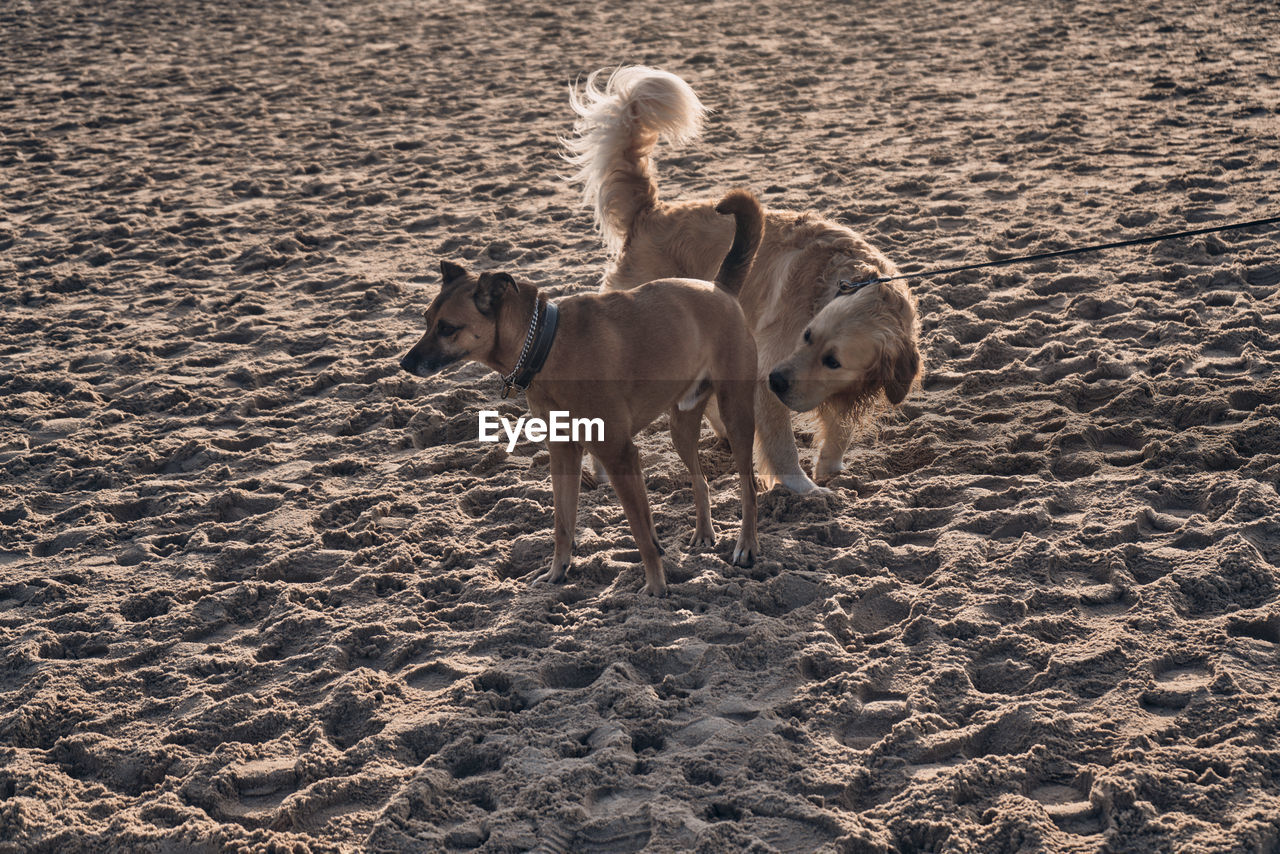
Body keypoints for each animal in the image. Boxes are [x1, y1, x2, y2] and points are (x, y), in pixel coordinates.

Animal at [401, 193, 757, 594]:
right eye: (426, 320)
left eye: (447, 328)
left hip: (736, 414)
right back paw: (704, 533)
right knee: (699, 479)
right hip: (681, 423)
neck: (544, 344)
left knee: (748, 485)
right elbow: (563, 522)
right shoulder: (563, 452)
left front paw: (655, 585)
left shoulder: (619, 454)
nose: (405, 363)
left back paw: (746, 545)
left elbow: (639, 530)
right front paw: (557, 572)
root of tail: (719, 288)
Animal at [563, 66, 921, 494]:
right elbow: (782, 445)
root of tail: (651, 212)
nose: (777, 381)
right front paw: (806, 491)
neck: (845, 280)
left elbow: (840, 428)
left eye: (833, 360)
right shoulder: (767, 371)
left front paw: (831, 468)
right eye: (806, 336)